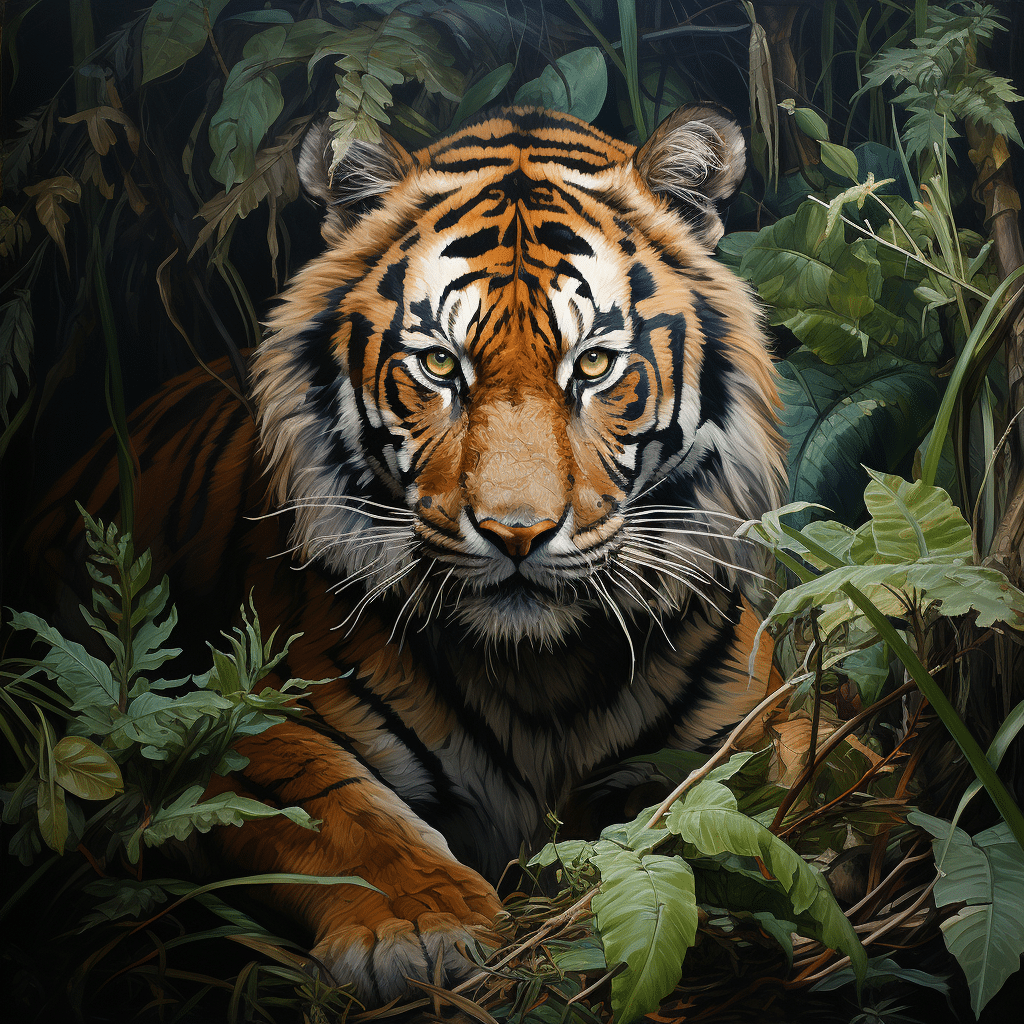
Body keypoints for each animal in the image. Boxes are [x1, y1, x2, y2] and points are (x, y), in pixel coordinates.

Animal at [27, 104, 786, 1006]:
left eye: (595, 364)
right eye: (439, 365)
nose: (517, 533)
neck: (540, 675)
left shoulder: (764, 717)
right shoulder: (222, 728)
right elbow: (342, 812)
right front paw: (423, 927)